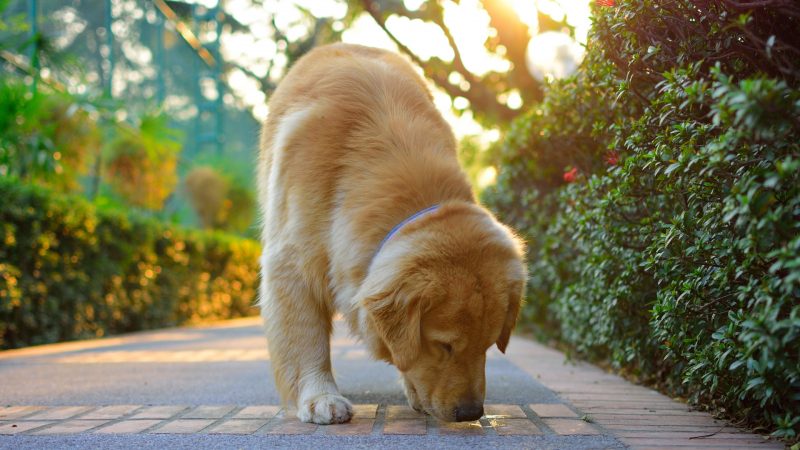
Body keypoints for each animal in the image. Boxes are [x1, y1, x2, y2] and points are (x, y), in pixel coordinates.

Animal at [256, 43, 528, 426]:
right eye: (443, 345)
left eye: (488, 344)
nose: (470, 413)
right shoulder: (291, 263)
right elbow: (305, 336)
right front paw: (319, 396)